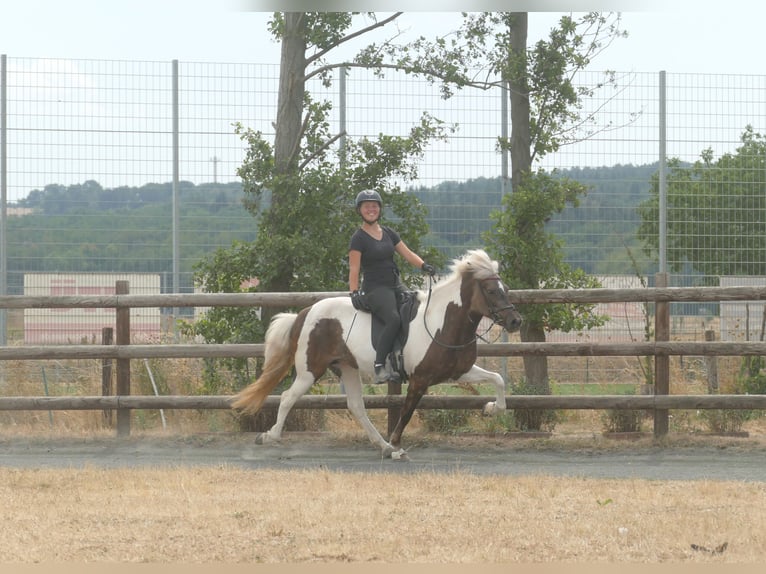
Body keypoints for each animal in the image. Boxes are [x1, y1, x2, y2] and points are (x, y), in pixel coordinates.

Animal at [231, 248, 523, 459]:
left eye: (506, 290)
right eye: (491, 290)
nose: (515, 321)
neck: (443, 321)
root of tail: (305, 312)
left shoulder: (459, 372)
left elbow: (498, 379)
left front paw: (491, 409)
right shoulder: (420, 380)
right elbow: (406, 412)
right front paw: (396, 446)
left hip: (347, 368)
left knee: (356, 407)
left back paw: (380, 445)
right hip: (309, 371)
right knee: (288, 398)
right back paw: (270, 436)